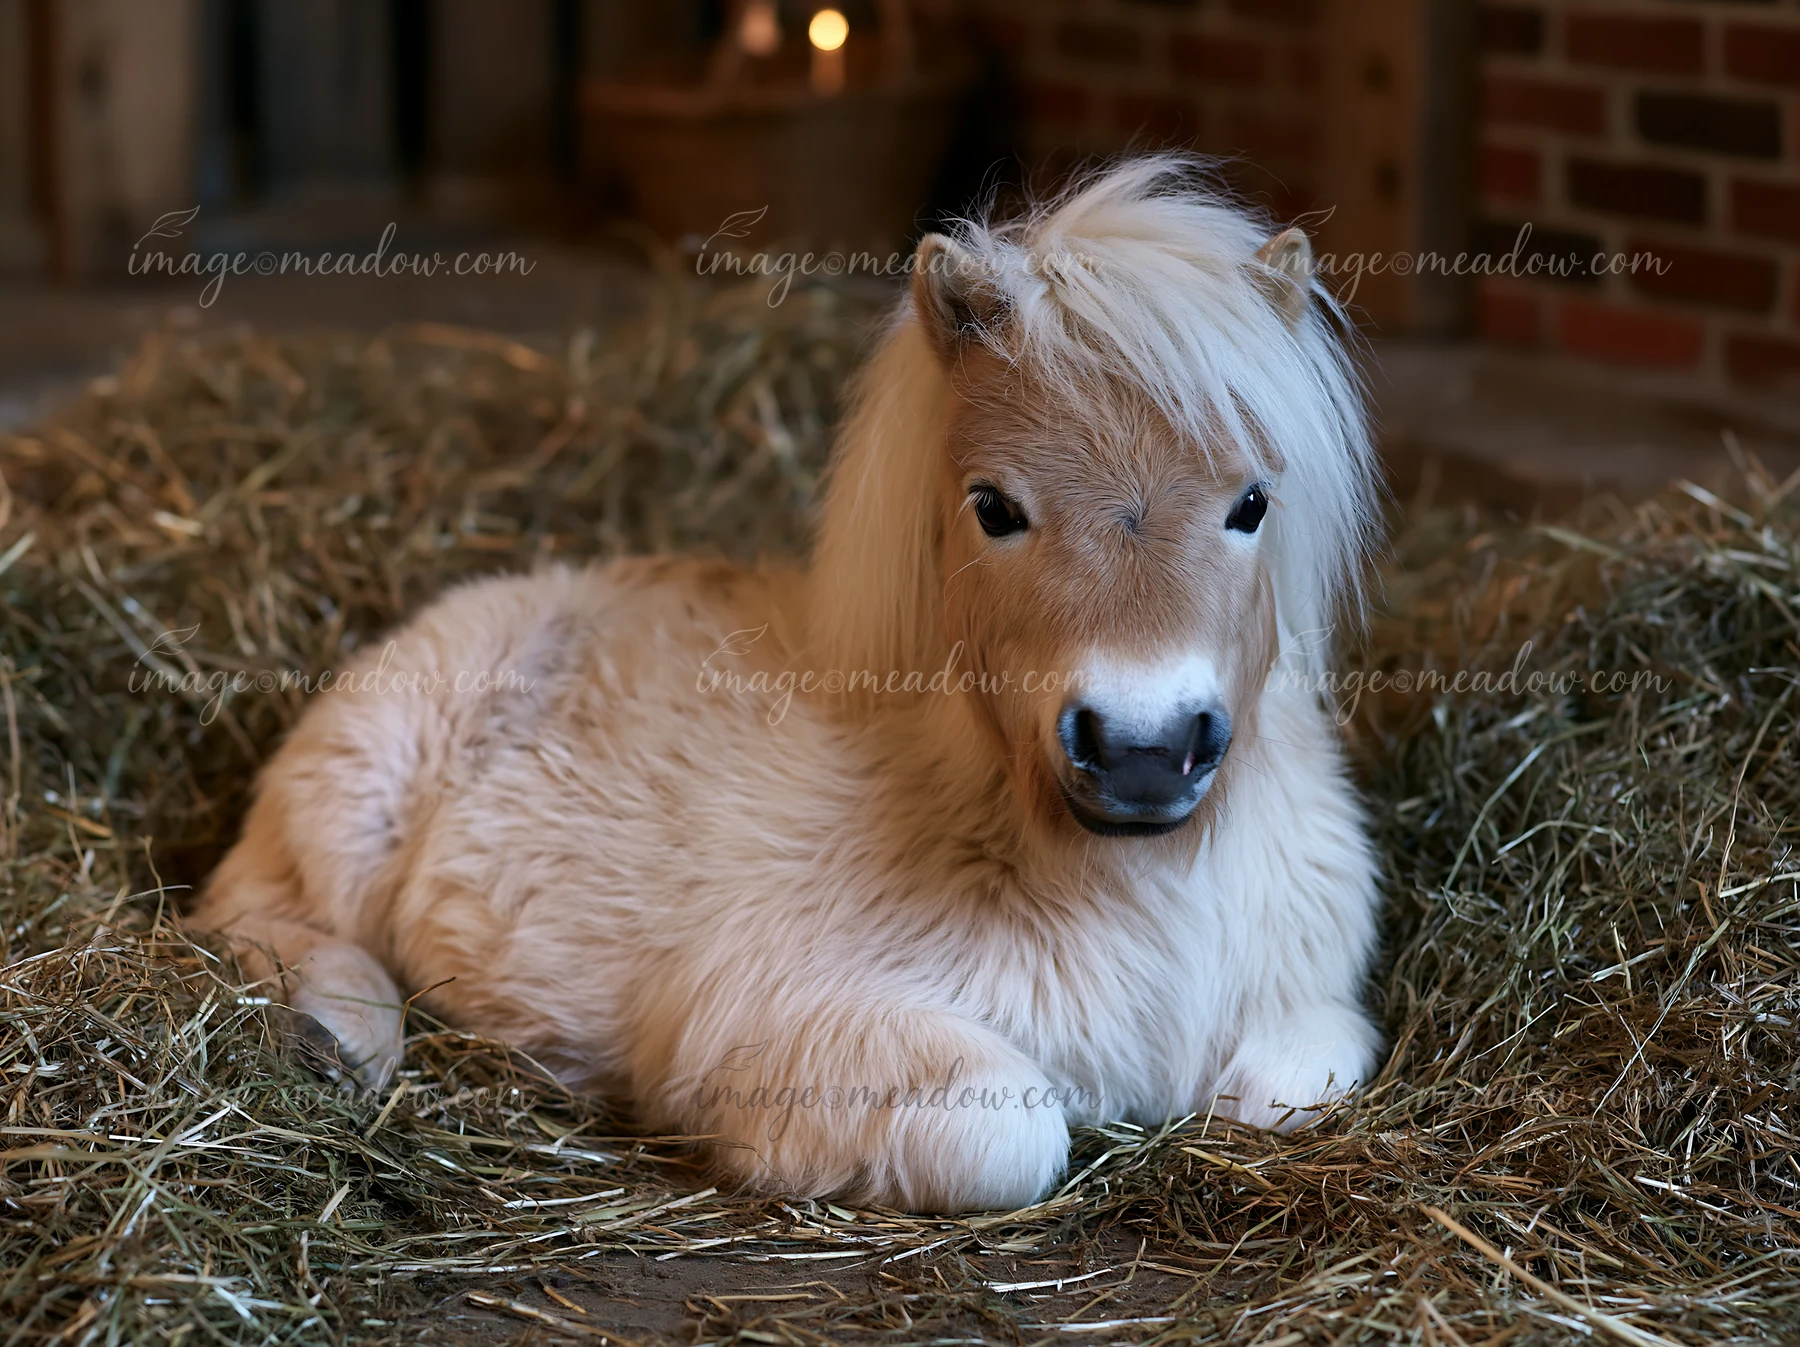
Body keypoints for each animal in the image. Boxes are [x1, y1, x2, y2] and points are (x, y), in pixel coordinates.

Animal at [192, 156, 1385, 1213]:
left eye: (1251, 503)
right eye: (993, 506)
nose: (1142, 751)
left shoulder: (1302, 1009)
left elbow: (1286, 1090)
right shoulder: (795, 1021)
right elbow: (1008, 1134)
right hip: (356, 796)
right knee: (255, 909)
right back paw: (340, 1033)